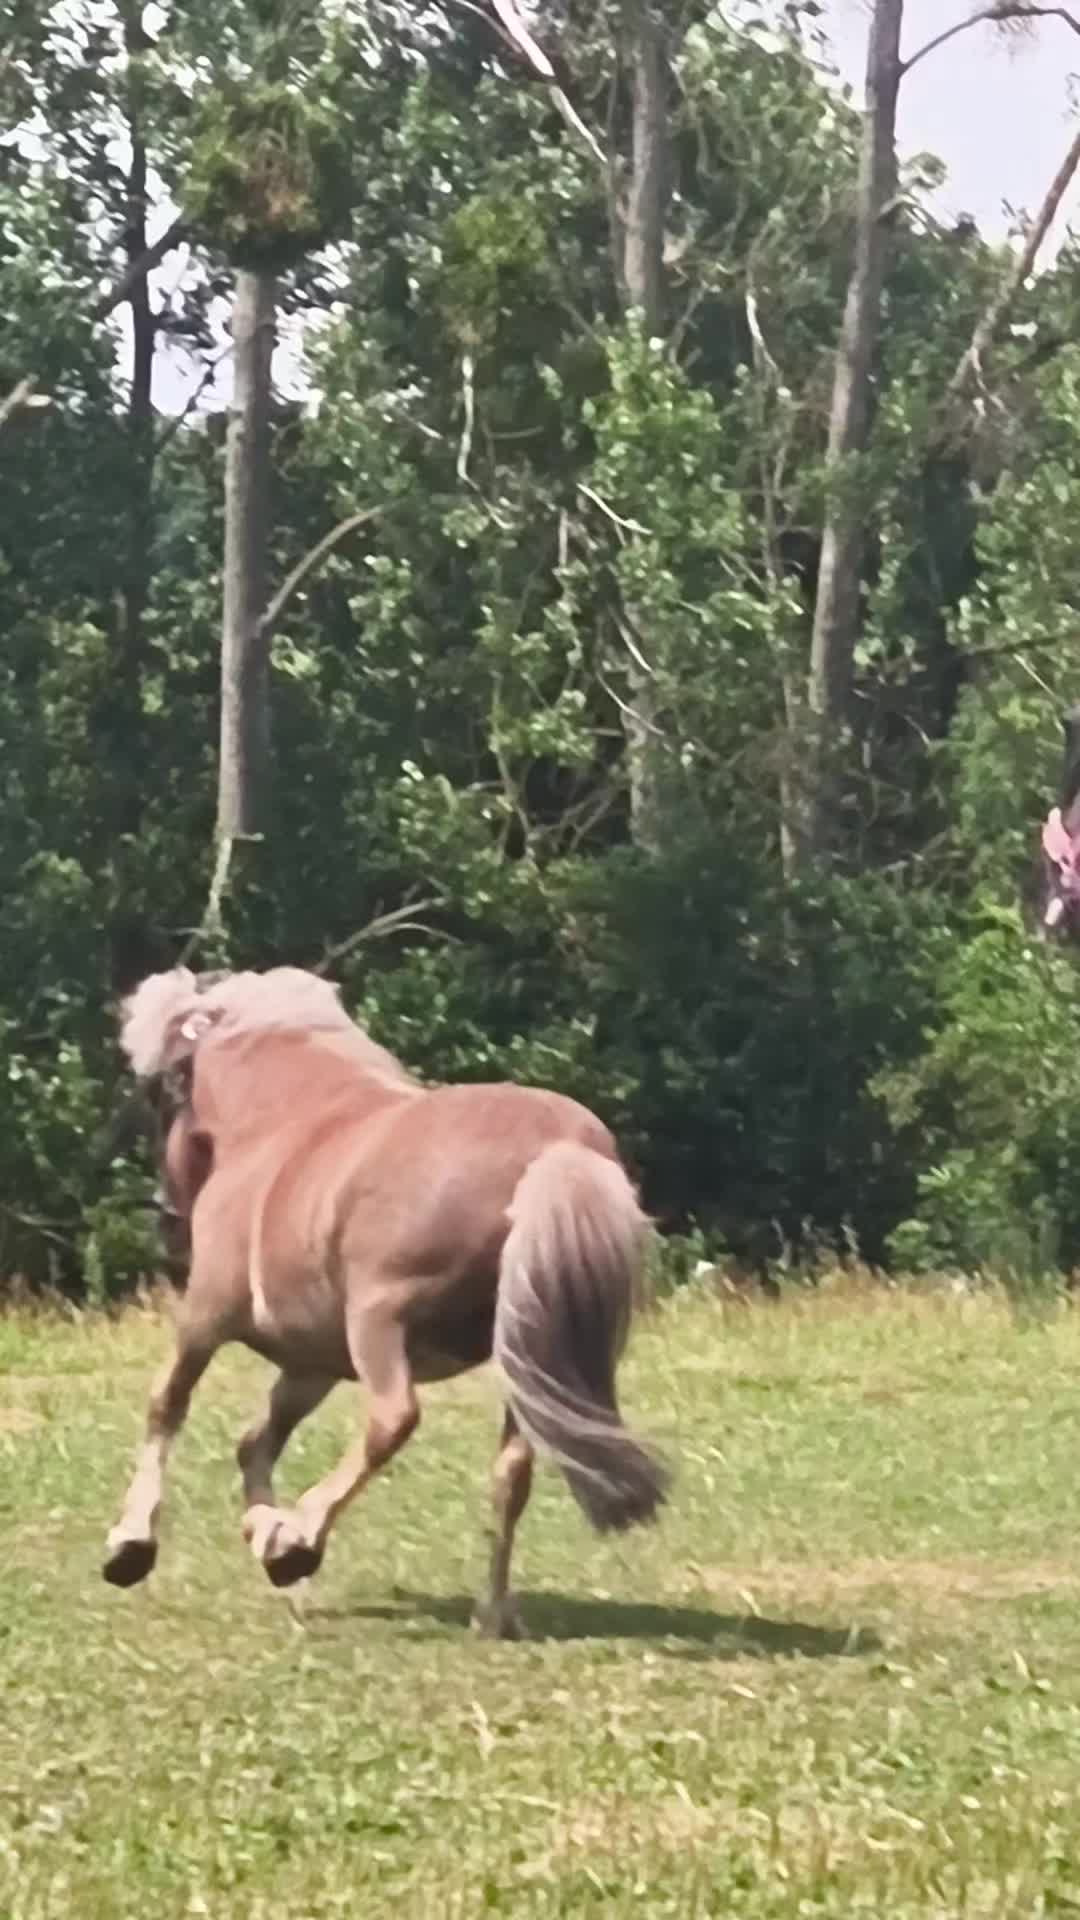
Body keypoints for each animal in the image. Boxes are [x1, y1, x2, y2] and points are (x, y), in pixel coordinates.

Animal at [103, 966, 669, 1637]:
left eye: (164, 1096)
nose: (167, 1220)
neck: (281, 1124)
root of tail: (559, 1152)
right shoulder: (312, 1363)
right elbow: (257, 1440)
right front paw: (265, 1536)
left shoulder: (207, 1315)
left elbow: (168, 1403)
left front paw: (135, 1545)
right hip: (532, 1355)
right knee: (511, 1472)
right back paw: (492, 1613)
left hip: (379, 1322)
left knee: (392, 1419)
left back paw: (304, 1534)